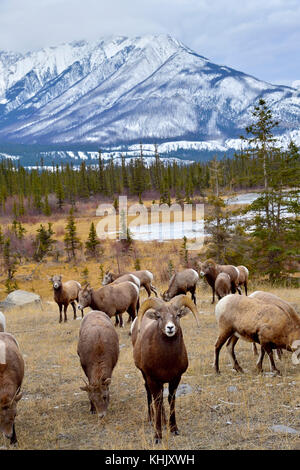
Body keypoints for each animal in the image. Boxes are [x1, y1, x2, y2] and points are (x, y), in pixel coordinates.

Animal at [131, 296, 199, 442]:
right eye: (159, 316)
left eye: (177, 315)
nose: (170, 328)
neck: (166, 361)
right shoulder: (152, 379)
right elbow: (157, 402)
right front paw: (157, 436)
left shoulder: (176, 379)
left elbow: (170, 400)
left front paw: (174, 429)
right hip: (146, 376)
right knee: (150, 394)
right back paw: (152, 419)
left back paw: (164, 421)